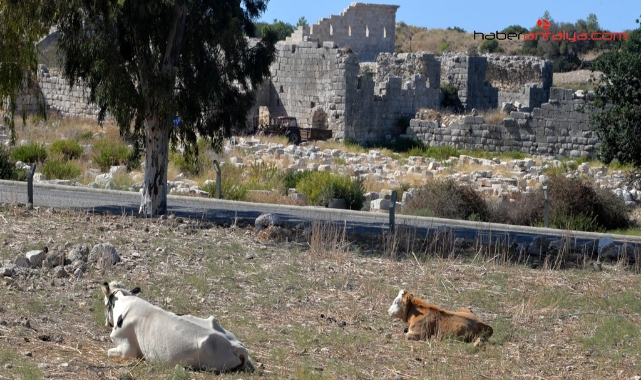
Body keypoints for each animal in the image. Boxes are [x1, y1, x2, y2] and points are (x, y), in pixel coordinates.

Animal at [101, 280, 254, 372]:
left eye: (104, 303)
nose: (107, 323)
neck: (125, 304)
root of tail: (237, 347)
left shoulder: (127, 350)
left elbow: (109, 352)